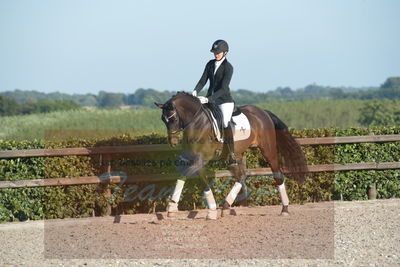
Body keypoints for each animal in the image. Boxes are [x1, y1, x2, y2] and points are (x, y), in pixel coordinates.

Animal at [155, 92, 308, 220]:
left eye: (173, 118)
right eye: (163, 119)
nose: (173, 142)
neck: (198, 122)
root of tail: (263, 112)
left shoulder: (201, 159)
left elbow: (187, 176)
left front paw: (173, 207)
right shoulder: (195, 160)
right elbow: (197, 180)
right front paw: (211, 210)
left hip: (268, 150)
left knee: (277, 174)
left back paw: (285, 208)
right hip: (236, 156)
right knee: (241, 176)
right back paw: (226, 206)